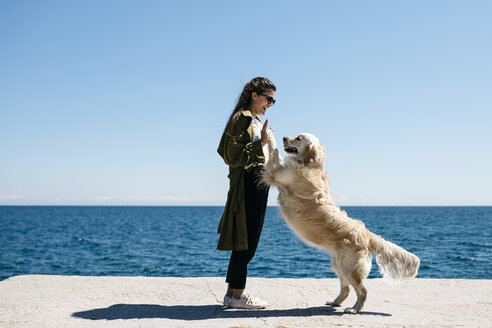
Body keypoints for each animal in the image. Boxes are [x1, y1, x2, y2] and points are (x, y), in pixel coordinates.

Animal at [264, 132, 420, 314]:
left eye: (298, 138)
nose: (284, 138)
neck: (312, 165)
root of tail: (366, 235)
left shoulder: (276, 170)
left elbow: (272, 150)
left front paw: (267, 132)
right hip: (339, 265)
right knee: (346, 289)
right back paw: (335, 302)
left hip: (348, 267)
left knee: (362, 291)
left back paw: (354, 309)